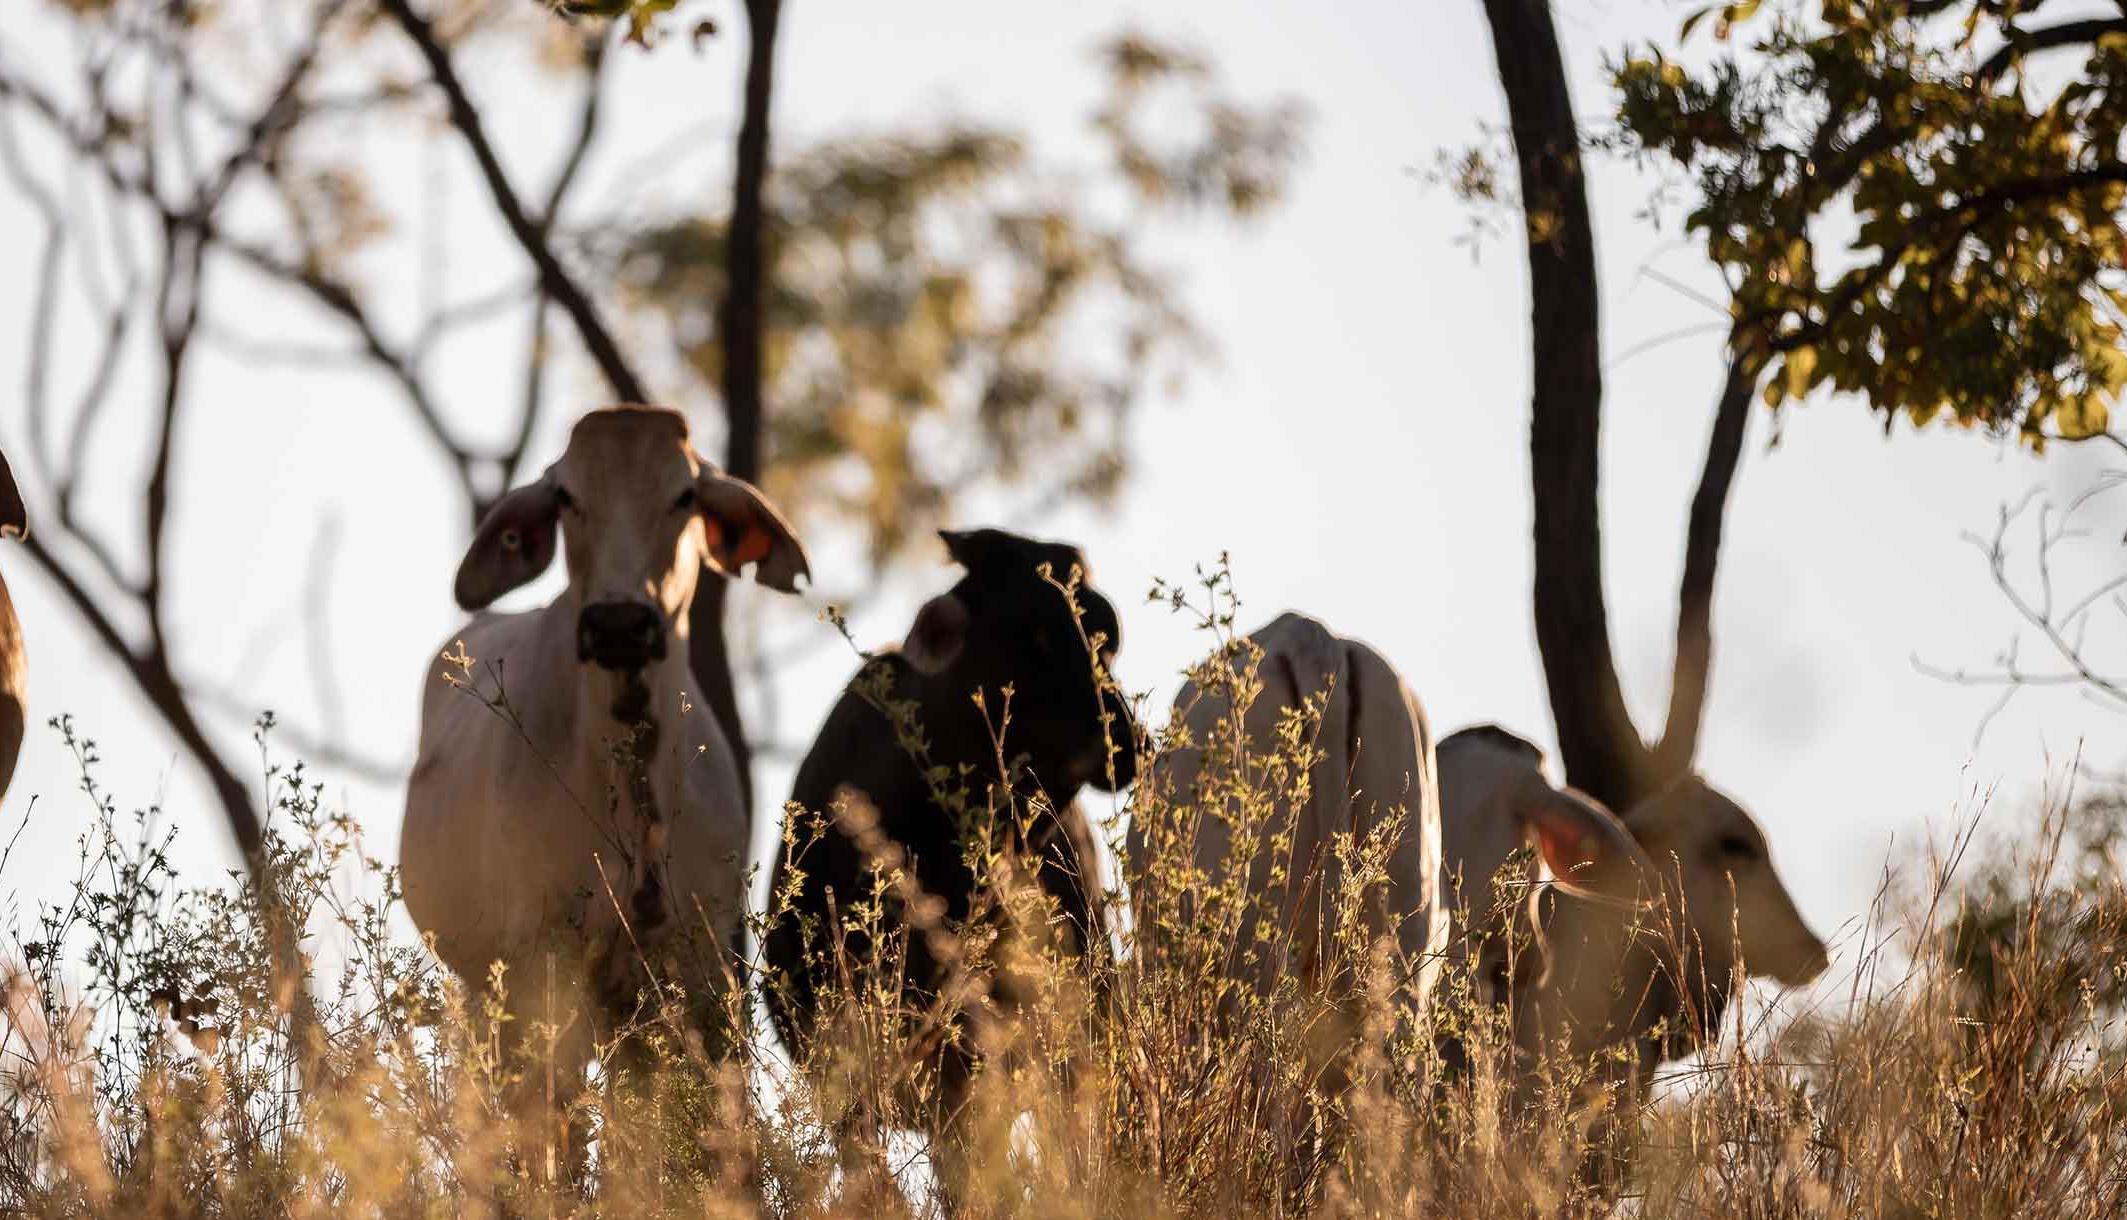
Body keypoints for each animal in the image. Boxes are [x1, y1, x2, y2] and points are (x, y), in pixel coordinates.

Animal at [399, 405, 809, 1122]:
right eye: (567, 495)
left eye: (685, 495)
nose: (618, 623)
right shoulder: (543, 969)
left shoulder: (695, 971)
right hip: (486, 995)